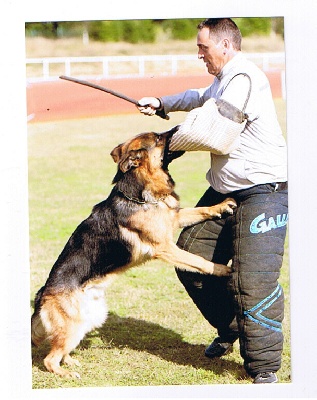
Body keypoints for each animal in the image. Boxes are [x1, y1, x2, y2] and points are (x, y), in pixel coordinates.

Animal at [30, 127, 236, 378]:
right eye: (158, 138)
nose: (178, 128)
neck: (139, 193)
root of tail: (42, 294)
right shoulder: (165, 247)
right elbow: (199, 260)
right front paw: (222, 269)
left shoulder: (175, 218)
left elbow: (200, 210)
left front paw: (222, 205)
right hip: (73, 323)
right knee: (50, 359)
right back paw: (65, 372)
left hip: (88, 319)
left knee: (62, 350)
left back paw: (70, 362)